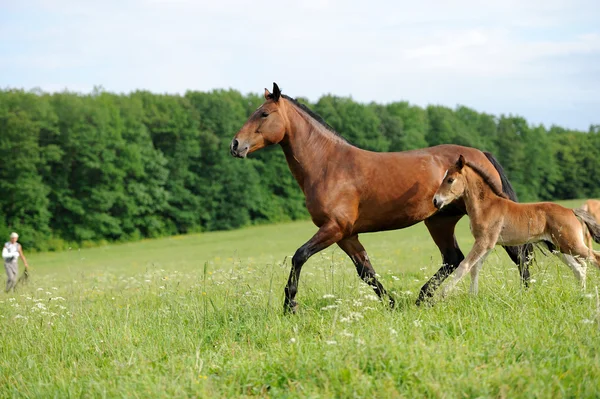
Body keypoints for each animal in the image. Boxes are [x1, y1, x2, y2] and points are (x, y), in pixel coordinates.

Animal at [232, 84, 532, 314]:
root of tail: (480, 154)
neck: (329, 165)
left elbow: (299, 256)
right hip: (439, 221)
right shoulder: (346, 235)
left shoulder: (334, 228)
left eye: (263, 113)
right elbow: (367, 272)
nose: (235, 145)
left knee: (517, 253)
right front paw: (392, 304)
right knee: (453, 258)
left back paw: (526, 292)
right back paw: (422, 299)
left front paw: (290, 306)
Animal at [432, 155, 600, 296]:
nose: (435, 200)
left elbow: (464, 266)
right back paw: (581, 295)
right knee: (579, 268)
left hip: (571, 244)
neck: (486, 206)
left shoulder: (483, 242)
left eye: (450, 180)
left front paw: (442, 295)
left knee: (594, 258)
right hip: (557, 247)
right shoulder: (488, 243)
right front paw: (472, 296)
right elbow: (475, 267)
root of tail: (571, 210)